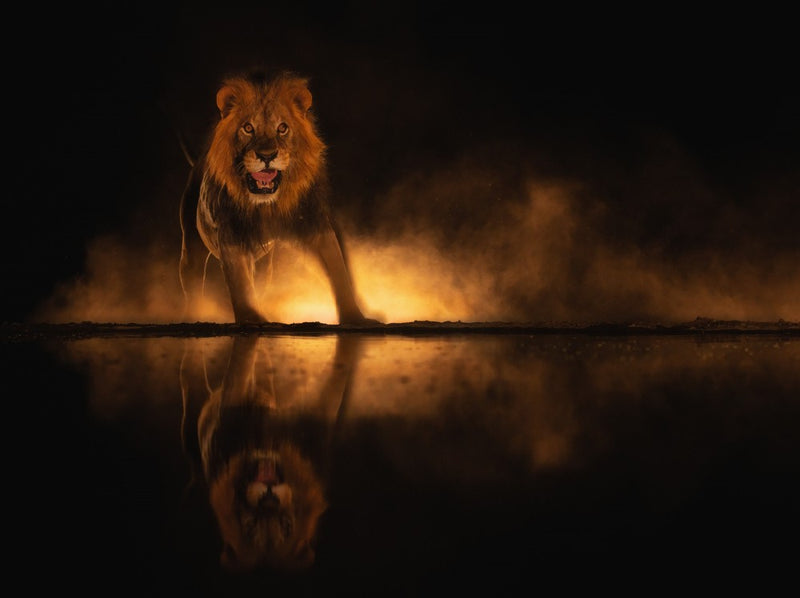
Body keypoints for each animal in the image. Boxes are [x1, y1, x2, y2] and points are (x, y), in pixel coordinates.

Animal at [179, 69, 376, 325]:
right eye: (248, 128)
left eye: (282, 128)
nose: (267, 156)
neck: (266, 206)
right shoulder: (231, 236)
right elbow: (240, 283)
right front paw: (252, 319)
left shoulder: (316, 225)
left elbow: (339, 271)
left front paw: (356, 317)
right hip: (191, 248)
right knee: (193, 284)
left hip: (265, 265)